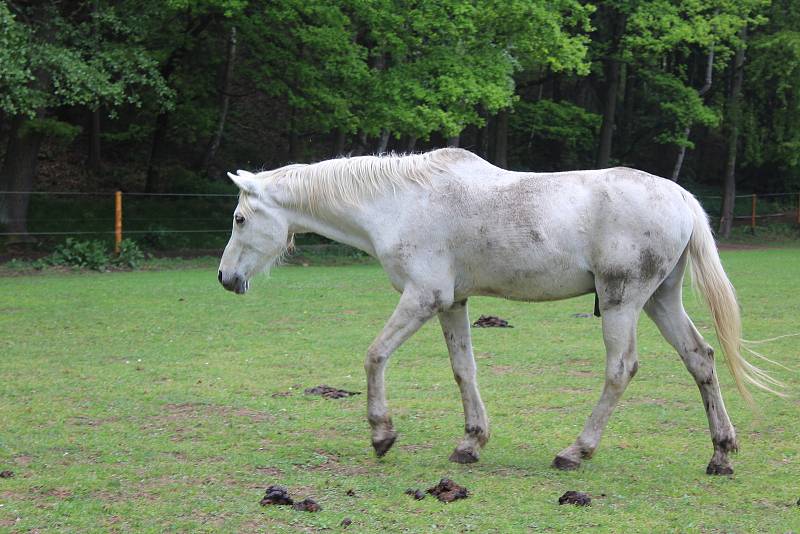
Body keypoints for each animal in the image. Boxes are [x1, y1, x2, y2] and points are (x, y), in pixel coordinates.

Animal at [219, 149, 780, 476]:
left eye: (241, 218)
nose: (225, 279)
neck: (400, 201)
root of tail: (680, 195)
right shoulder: (451, 303)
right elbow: (463, 370)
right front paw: (471, 443)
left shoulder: (422, 298)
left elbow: (375, 355)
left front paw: (382, 434)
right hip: (662, 299)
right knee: (701, 359)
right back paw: (720, 453)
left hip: (622, 302)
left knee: (620, 370)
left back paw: (575, 451)